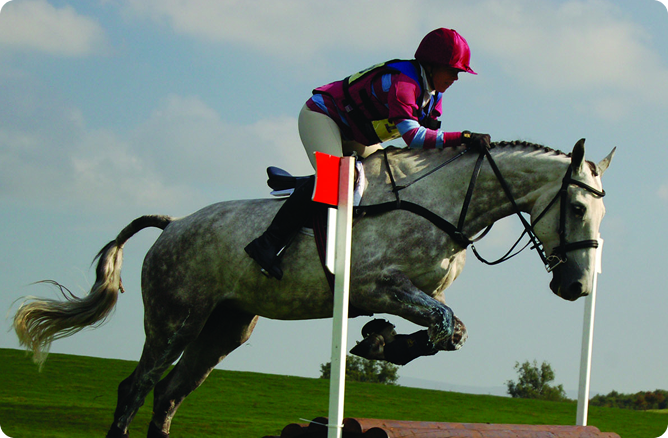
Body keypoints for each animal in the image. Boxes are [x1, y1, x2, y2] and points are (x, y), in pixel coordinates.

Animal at [12, 139, 615, 438]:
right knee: (136, 388)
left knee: (169, 394)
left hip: (224, 328)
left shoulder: (417, 293)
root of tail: (173, 224)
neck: (443, 204)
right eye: (576, 206)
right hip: (174, 319)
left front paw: (380, 341)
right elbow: (446, 324)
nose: (576, 285)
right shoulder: (378, 283)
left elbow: (450, 331)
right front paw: (378, 339)